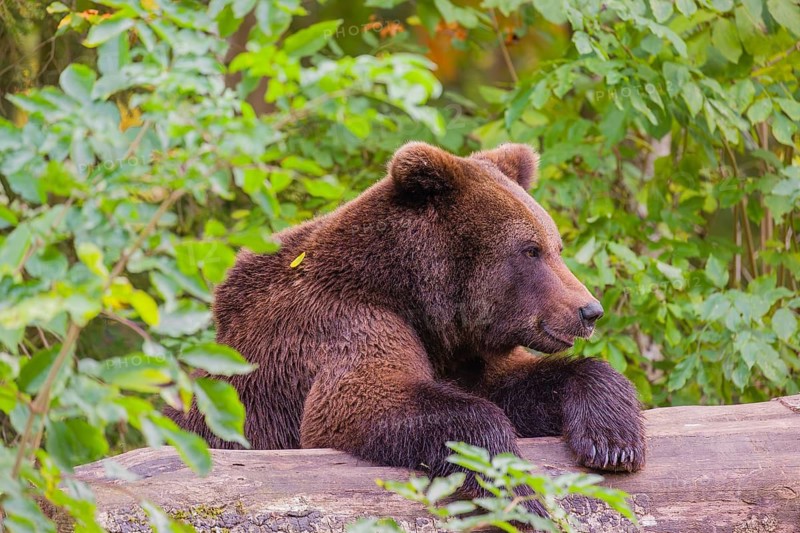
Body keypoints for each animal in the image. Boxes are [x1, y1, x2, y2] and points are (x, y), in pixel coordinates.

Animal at [169, 142, 645, 508]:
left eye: (556, 246)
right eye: (531, 250)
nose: (589, 310)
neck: (413, 297)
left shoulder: (460, 352)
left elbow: (519, 384)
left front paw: (613, 440)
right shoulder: (345, 324)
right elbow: (360, 404)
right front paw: (520, 493)